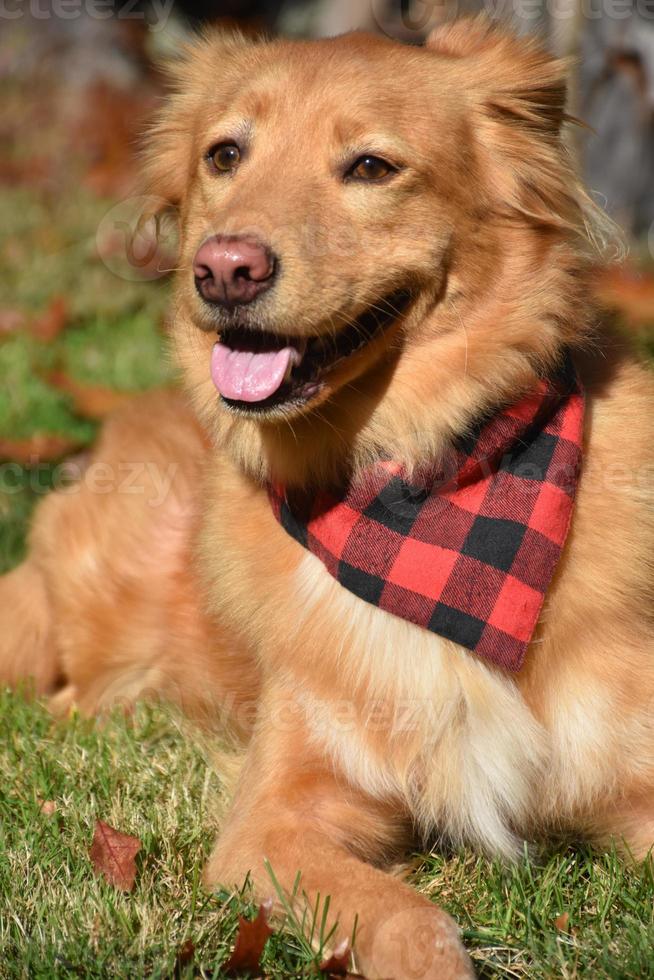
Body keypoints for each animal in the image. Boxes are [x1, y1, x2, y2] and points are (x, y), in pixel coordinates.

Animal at [1, 17, 654, 980]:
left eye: (372, 167)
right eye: (225, 154)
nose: (223, 269)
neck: (416, 486)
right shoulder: (274, 823)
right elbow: (411, 919)